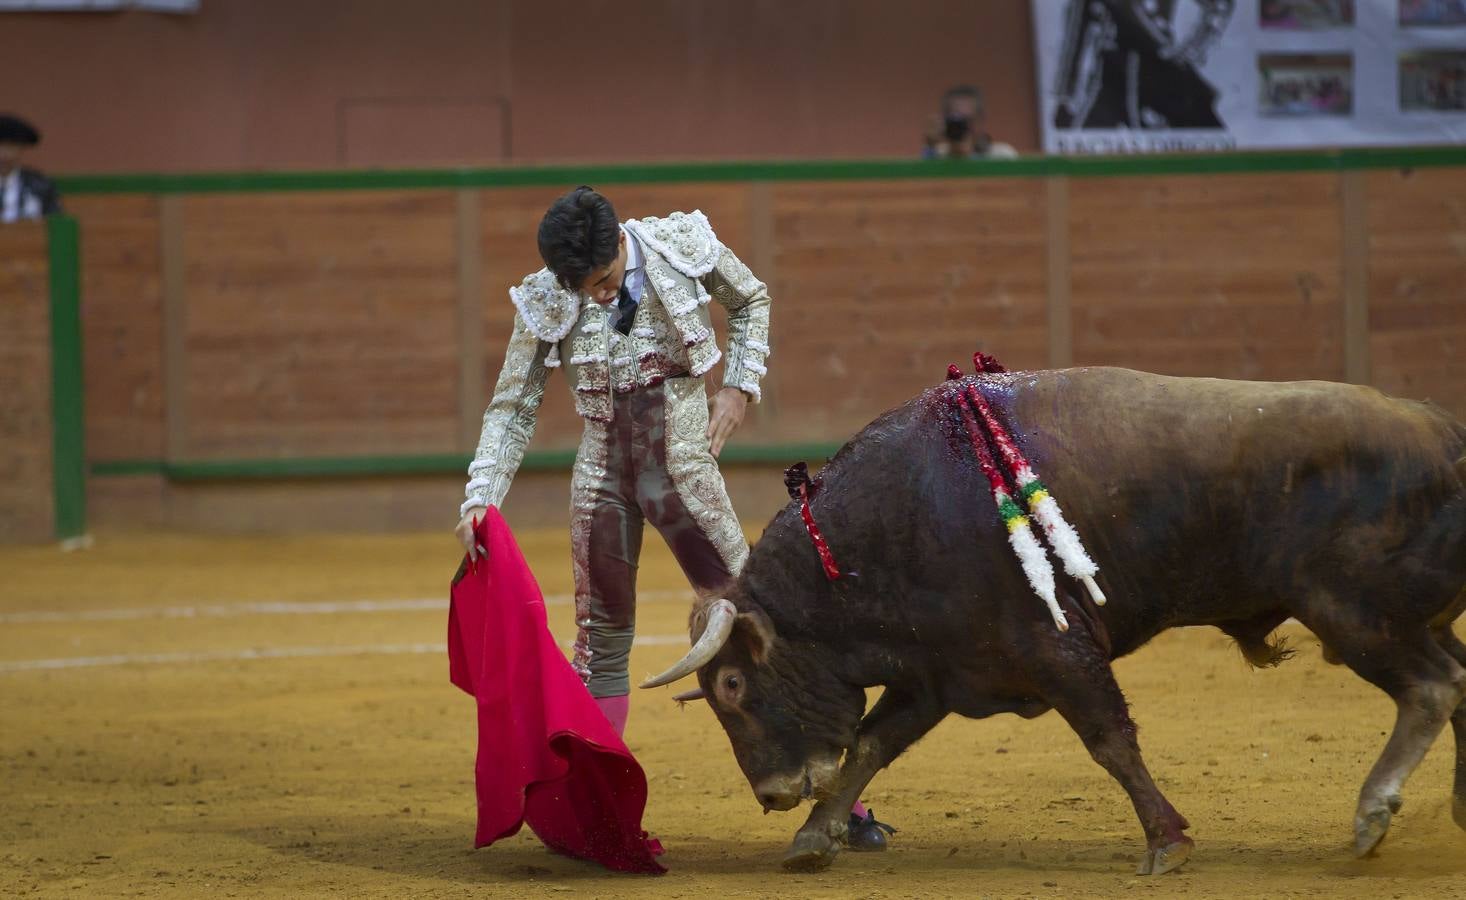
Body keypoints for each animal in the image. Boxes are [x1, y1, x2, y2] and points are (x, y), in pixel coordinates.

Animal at [639, 364, 1466, 873]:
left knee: (1431, 689)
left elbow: (1110, 740)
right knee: (1457, 681)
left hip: (1354, 613)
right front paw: (813, 837)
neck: (886, 528)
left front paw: (1167, 842)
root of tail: (1443, 431)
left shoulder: (1056, 650)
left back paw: (1372, 813)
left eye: (734, 686)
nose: (772, 794)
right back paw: (1456, 804)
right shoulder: (937, 675)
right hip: (1407, 616)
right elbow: (870, 746)